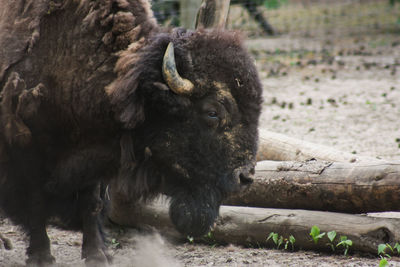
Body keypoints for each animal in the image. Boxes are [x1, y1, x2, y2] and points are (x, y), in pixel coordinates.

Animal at [0, 0, 262, 266]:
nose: (245, 177)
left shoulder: (94, 159)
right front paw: (41, 256)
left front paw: (97, 255)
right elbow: (36, 204)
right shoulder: (26, 153)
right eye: (212, 112)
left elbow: (91, 203)